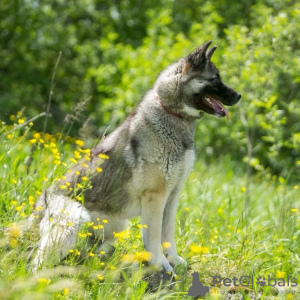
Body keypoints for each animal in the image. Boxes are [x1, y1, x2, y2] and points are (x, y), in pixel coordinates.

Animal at [29, 41, 241, 274]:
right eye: (215, 79)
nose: (239, 96)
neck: (172, 115)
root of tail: (36, 209)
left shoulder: (172, 195)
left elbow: (167, 234)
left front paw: (173, 259)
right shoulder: (156, 196)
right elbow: (154, 235)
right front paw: (159, 263)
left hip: (115, 226)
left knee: (90, 251)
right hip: (74, 219)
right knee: (37, 262)